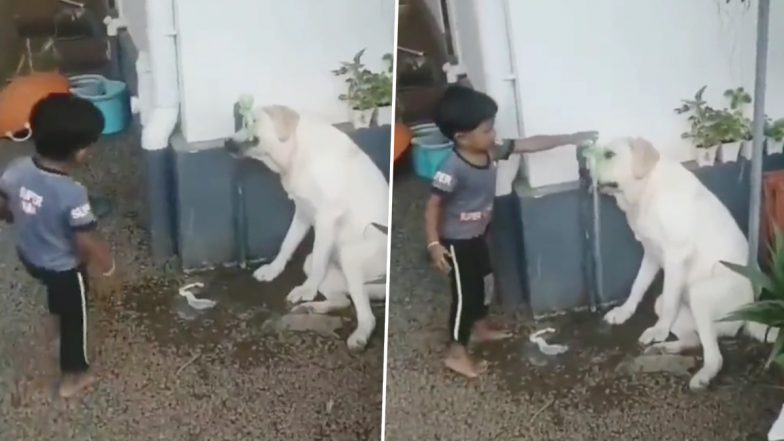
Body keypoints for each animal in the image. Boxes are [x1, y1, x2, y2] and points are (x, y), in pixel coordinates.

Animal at [225, 105, 388, 348]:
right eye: (244, 122)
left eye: (253, 121)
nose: (226, 142)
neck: (296, 152)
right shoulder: (302, 211)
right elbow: (287, 243)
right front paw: (273, 270)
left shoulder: (326, 217)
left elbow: (320, 256)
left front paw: (307, 289)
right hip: (315, 265)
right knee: (343, 301)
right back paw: (314, 307)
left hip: (350, 258)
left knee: (368, 316)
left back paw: (359, 336)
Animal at [596, 137, 772, 388]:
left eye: (609, 154)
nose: (584, 169)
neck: (647, 187)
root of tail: (748, 314)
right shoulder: (651, 253)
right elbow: (637, 286)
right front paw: (623, 313)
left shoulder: (676, 255)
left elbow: (670, 299)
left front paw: (659, 330)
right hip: (666, 305)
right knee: (693, 340)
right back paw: (662, 348)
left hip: (699, 294)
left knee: (715, 356)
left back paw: (703, 375)